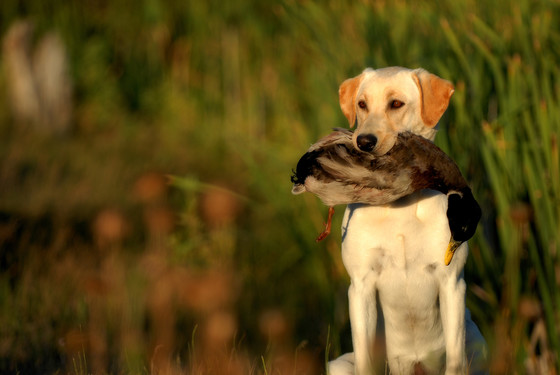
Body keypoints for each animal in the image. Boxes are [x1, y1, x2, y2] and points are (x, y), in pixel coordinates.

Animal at [328, 68, 486, 375]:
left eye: (396, 104)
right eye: (361, 104)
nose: (363, 142)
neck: (399, 203)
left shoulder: (451, 282)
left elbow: (454, 358)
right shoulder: (361, 286)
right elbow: (365, 358)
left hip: (477, 344)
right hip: (339, 364)